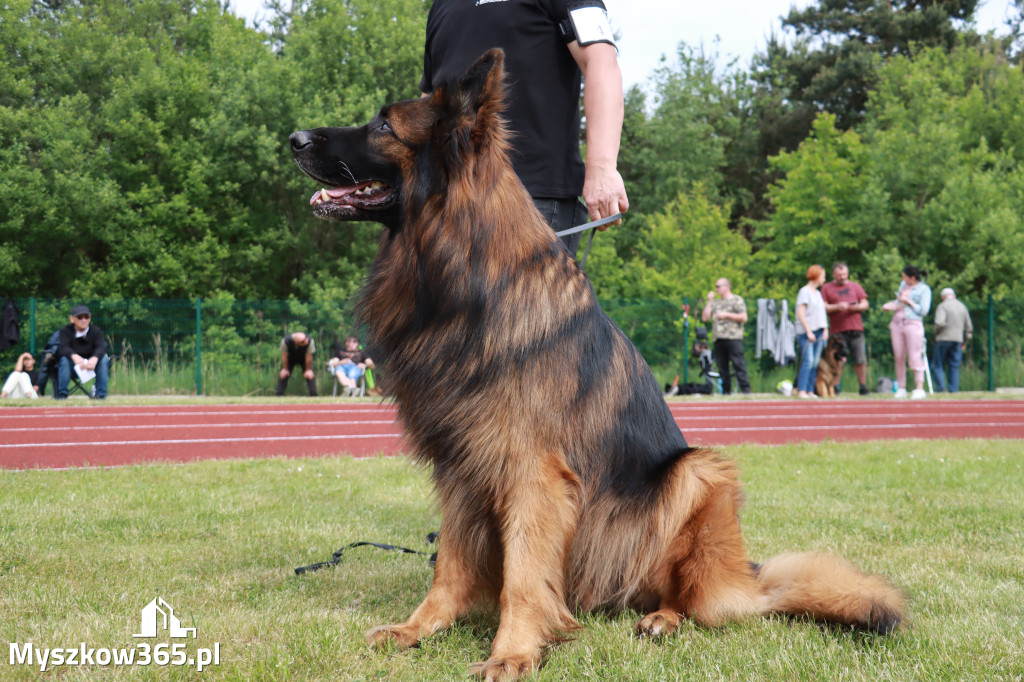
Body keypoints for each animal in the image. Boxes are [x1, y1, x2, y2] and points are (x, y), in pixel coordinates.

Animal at [290, 50, 905, 675]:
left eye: (384, 125)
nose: (292, 138)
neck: (466, 280)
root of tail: (748, 580)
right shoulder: (461, 464)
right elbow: (450, 565)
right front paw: (421, 628)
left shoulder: (532, 471)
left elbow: (523, 576)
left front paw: (514, 651)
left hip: (699, 475)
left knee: (696, 598)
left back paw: (663, 618)